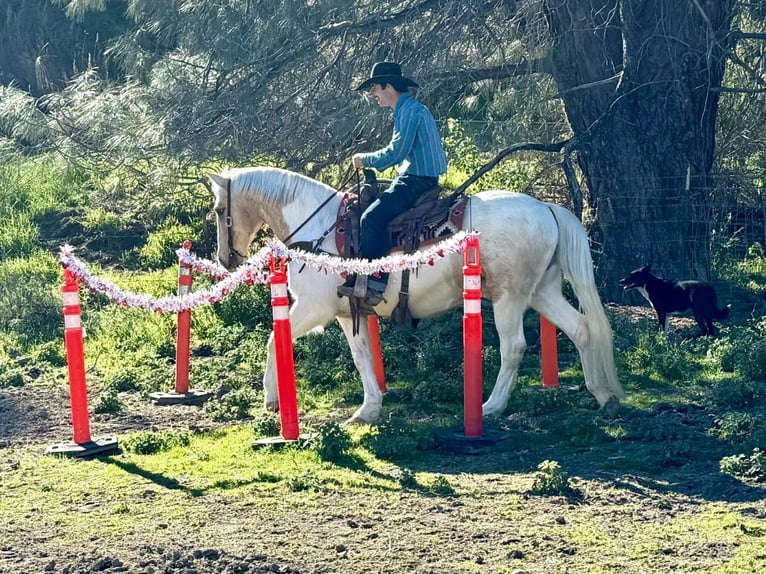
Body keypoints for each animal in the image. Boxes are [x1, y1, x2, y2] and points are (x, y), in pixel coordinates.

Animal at [206, 166, 624, 423]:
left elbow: (273, 339)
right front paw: (368, 409)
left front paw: (271, 399)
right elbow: (362, 358)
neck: (319, 228)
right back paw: (603, 395)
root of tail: (545, 207)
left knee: (514, 347)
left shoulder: (313, 308)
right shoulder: (347, 312)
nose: (225, 259)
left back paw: (491, 406)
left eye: (219, 208)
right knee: (582, 329)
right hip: (543, 291)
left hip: (510, 296)